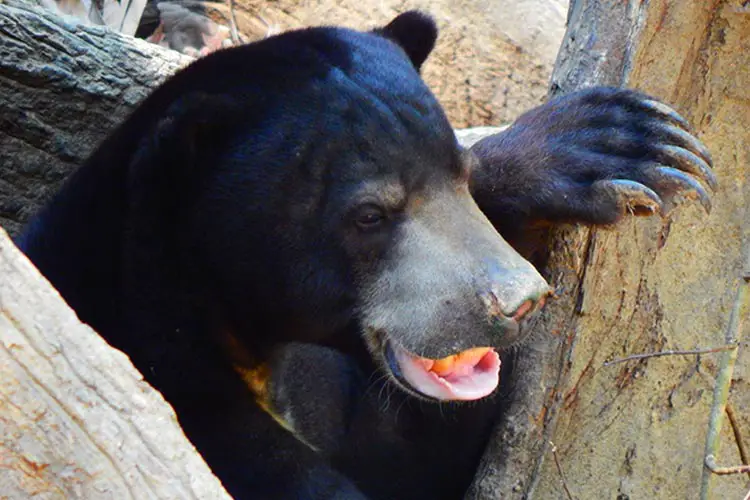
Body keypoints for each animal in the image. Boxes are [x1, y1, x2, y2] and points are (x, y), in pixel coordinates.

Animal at [14, 8, 712, 500]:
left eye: (461, 176)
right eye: (370, 215)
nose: (519, 302)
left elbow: (413, 459)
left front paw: (615, 141)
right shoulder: (167, 375)